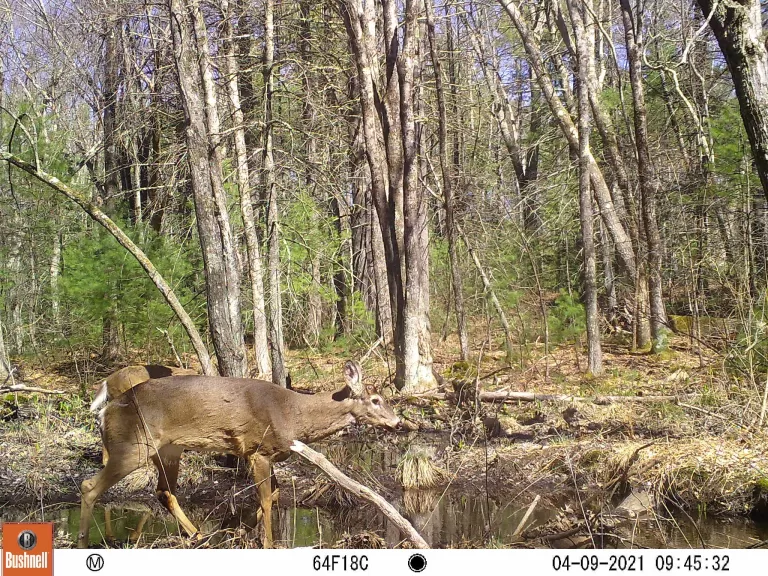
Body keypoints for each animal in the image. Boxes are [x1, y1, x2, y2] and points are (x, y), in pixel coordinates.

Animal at [77, 360, 399, 549]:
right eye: (375, 399)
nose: (397, 422)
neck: (293, 415)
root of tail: (105, 410)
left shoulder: (266, 454)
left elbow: (275, 495)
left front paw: (240, 530)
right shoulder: (258, 450)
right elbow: (267, 500)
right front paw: (267, 542)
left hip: (168, 450)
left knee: (163, 492)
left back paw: (198, 535)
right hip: (133, 445)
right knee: (89, 485)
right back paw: (82, 539)